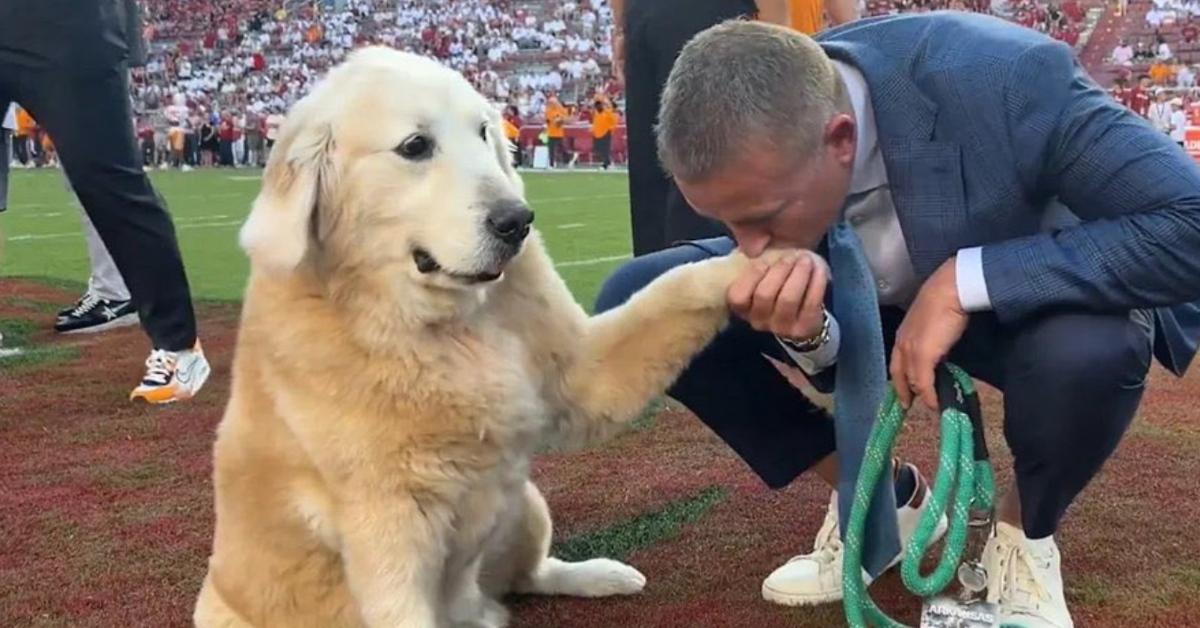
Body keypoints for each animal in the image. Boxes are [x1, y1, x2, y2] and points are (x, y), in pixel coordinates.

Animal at [194, 48, 787, 628]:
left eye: (483, 130)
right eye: (415, 146)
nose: (517, 221)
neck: (441, 326)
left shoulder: (582, 374)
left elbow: (676, 287)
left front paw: (767, 264)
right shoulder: (387, 530)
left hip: (522, 501)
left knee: (529, 575)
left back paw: (600, 576)